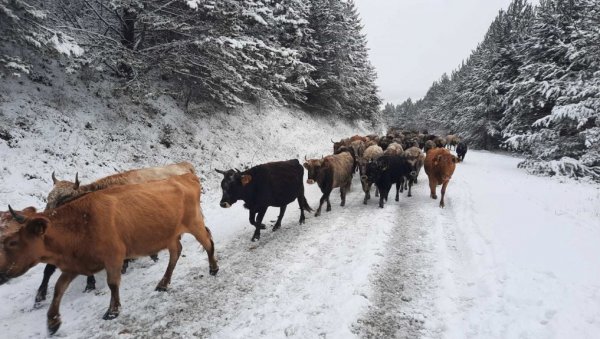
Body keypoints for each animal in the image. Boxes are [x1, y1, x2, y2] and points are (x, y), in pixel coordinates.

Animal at [0, 174, 218, 336]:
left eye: (12, 242)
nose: (2, 273)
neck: (81, 222)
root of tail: (184, 176)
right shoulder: (76, 264)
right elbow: (58, 289)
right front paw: (53, 322)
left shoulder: (113, 256)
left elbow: (113, 283)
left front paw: (112, 311)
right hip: (169, 234)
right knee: (175, 253)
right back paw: (163, 283)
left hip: (194, 223)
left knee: (207, 241)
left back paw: (213, 268)